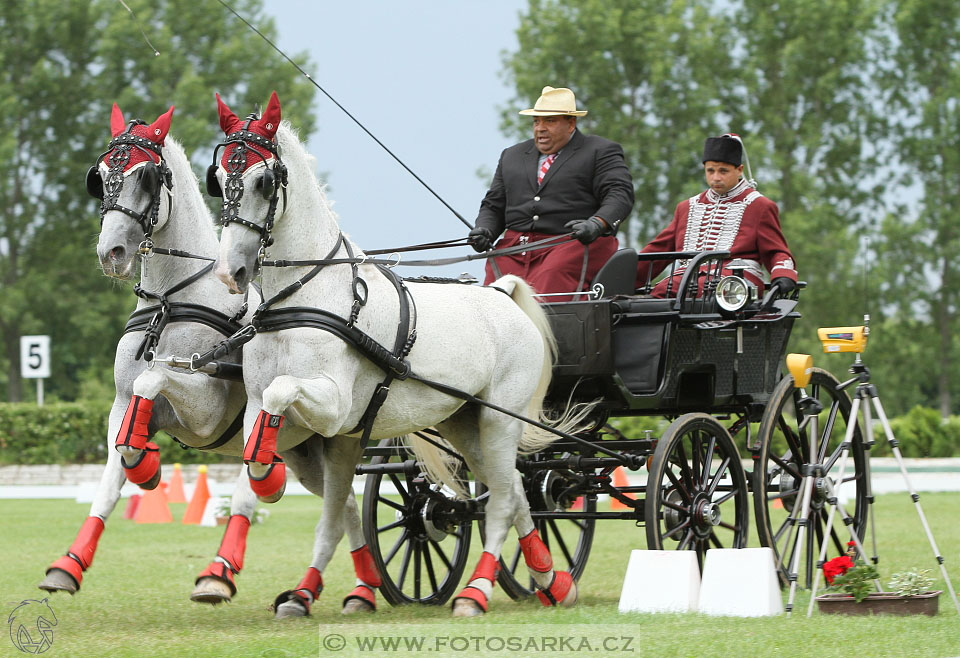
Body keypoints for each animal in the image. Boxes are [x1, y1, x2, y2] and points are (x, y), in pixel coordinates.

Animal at [39, 104, 376, 616]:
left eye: (146, 177)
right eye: (100, 177)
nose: (111, 253)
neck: (171, 301)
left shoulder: (206, 411)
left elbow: (154, 380)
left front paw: (149, 466)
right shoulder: (119, 405)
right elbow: (115, 469)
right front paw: (70, 563)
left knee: (285, 496)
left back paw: (221, 574)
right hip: (307, 453)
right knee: (344, 508)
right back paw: (358, 587)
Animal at [212, 92, 576, 616]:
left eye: (264, 180)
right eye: (219, 178)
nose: (230, 272)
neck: (305, 297)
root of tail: (502, 295)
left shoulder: (334, 405)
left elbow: (284, 400)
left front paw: (269, 485)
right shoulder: (279, 411)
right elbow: (267, 453)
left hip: (499, 418)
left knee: (505, 501)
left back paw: (476, 592)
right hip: (464, 422)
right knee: (516, 494)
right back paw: (552, 582)